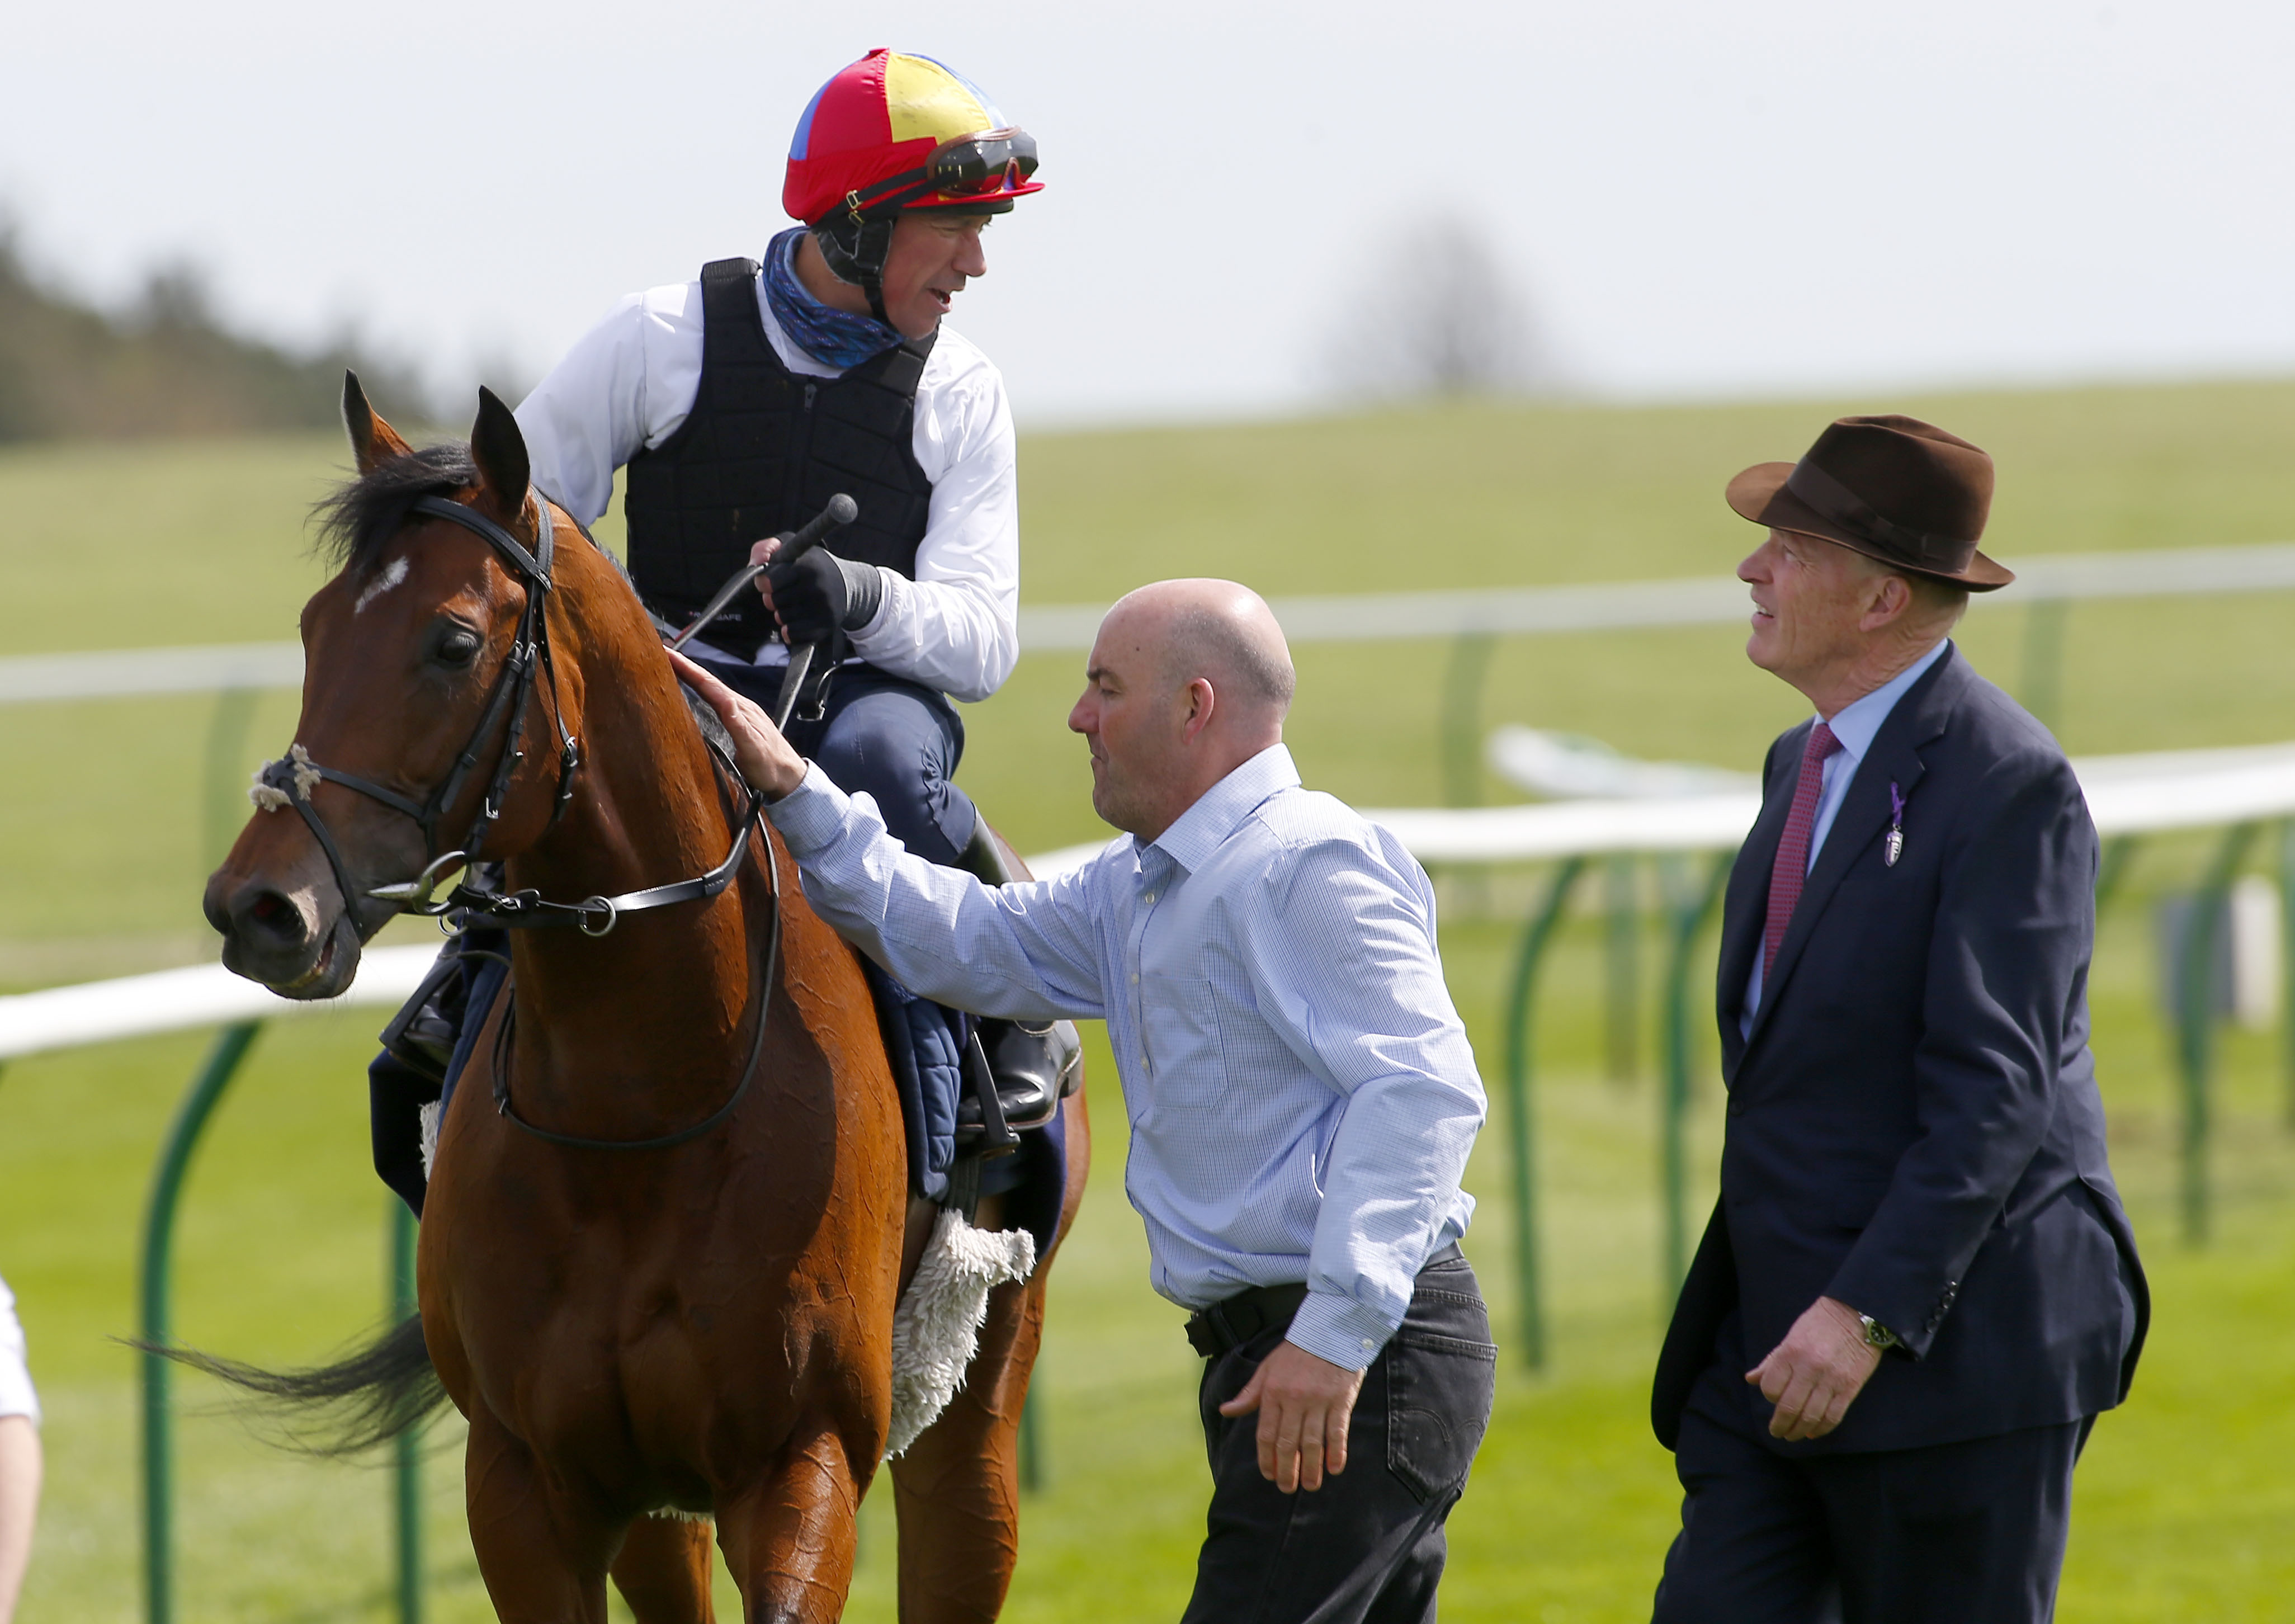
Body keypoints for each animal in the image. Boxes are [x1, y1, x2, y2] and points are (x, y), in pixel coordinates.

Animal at [202, 374, 1088, 1614]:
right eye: (312, 626)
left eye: (453, 642)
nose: (260, 907)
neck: (641, 1098)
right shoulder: (533, 1475)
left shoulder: (803, 1455)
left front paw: (823, 581)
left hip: (983, 1356)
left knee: (967, 1522)